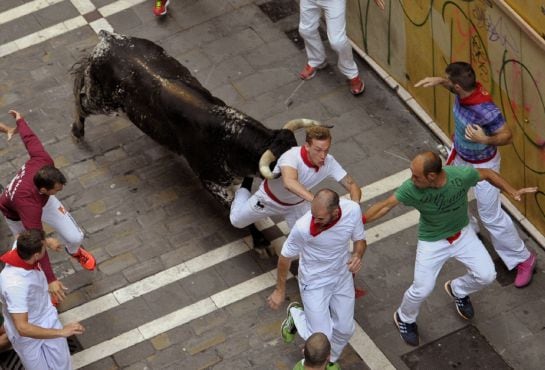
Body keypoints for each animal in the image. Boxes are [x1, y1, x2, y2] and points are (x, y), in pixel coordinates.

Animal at [70, 31, 320, 250]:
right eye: (285, 168)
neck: (230, 137)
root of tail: (109, 38)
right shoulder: (212, 183)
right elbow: (236, 214)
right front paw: (260, 242)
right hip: (104, 103)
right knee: (81, 97)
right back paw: (77, 131)